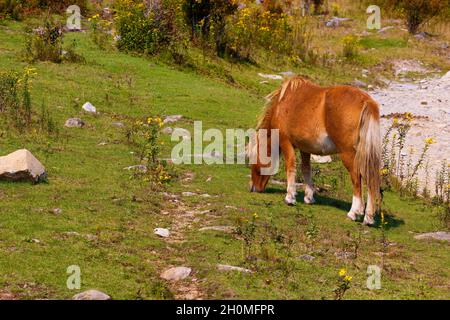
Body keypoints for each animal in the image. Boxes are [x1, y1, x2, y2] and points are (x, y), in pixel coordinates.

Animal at [248, 76, 382, 225]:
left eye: (252, 161)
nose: (253, 188)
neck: (283, 103)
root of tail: (366, 101)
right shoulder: (305, 148)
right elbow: (306, 169)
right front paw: (309, 197)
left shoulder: (285, 141)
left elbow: (291, 166)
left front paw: (290, 197)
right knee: (369, 179)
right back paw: (368, 217)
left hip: (348, 154)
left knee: (356, 177)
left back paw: (354, 212)